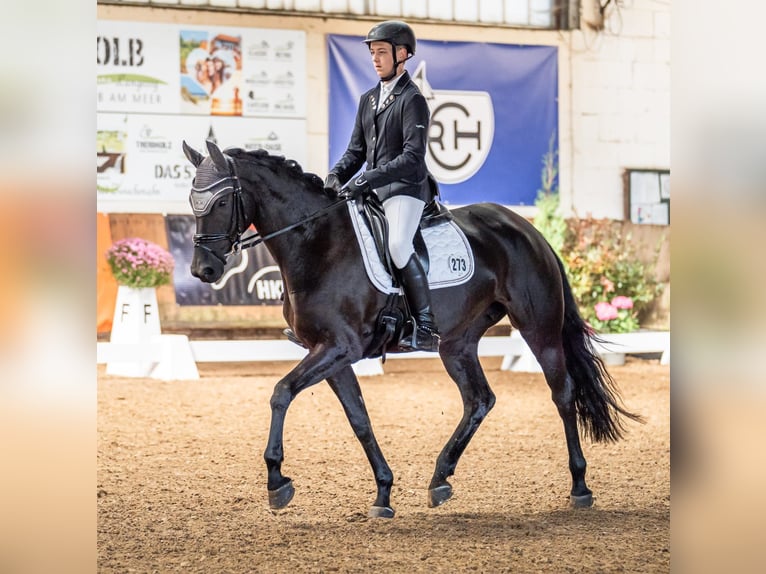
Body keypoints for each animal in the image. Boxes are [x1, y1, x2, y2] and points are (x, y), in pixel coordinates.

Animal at [183, 141, 644, 520]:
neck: (318, 244)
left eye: (221, 200)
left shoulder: (339, 347)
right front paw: (383, 494)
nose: (203, 271)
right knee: (480, 399)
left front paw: (277, 481)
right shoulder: (330, 353)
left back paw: (580, 486)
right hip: (457, 343)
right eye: (192, 199)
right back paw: (440, 479)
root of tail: (528, 229)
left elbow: (281, 392)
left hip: (538, 327)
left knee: (562, 393)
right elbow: (359, 419)